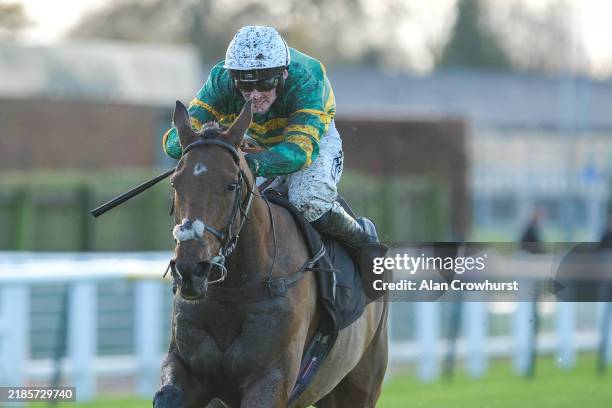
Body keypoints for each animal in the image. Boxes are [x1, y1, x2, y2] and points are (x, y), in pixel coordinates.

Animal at [153, 99, 390, 408]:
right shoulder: (186, 368)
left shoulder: (271, 378)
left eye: (231, 185)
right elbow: (170, 392)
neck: (235, 289)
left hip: (359, 382)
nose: (191, 270)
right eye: (175, 183)